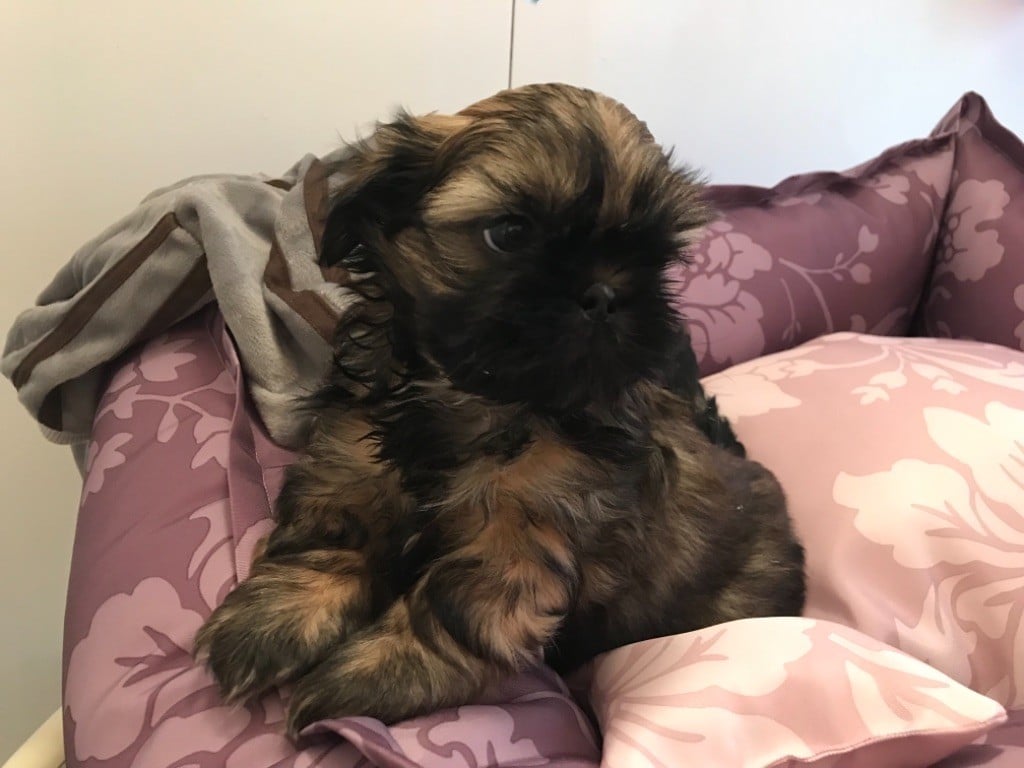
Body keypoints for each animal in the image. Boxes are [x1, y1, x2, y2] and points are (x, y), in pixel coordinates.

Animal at [194, 83, 806, 736]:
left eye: (654, 257)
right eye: (510, 234)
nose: (604, 293)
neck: (477, 401)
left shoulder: (519, 539)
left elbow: (454, 609)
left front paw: (374, 675)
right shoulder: (353, 456)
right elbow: (332, 535)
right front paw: (270, 621)